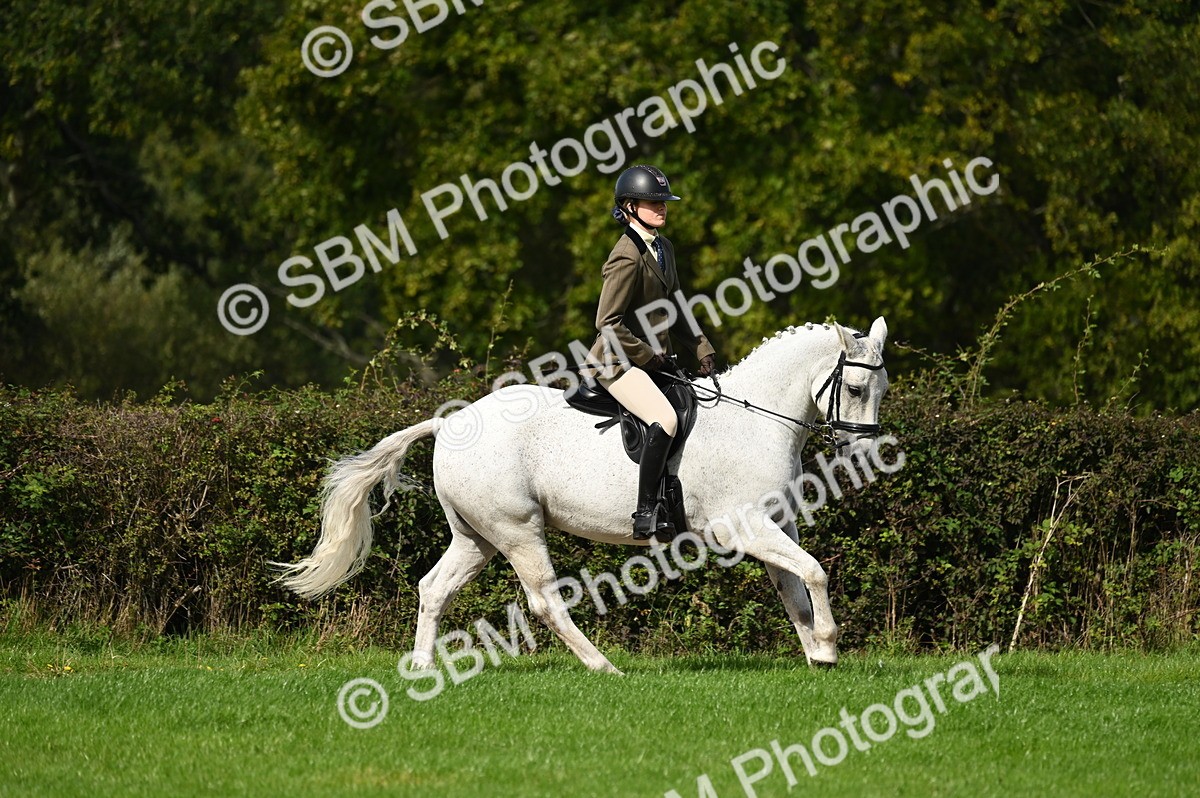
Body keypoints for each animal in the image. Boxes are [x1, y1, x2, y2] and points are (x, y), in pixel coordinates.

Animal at [273, 317, 890, 673]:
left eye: (883, 387)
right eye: (857, 387)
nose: (864, 453)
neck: (756, 420)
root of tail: (449, 423)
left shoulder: (775, 525)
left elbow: (794, 588)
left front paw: (816, 653)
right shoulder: (744, 526)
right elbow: (814, 573)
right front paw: (829, 644)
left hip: (477, 537)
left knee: (434, 588)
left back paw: (423, 667)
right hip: (518, 530)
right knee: (545, 601)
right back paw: (602, 666)